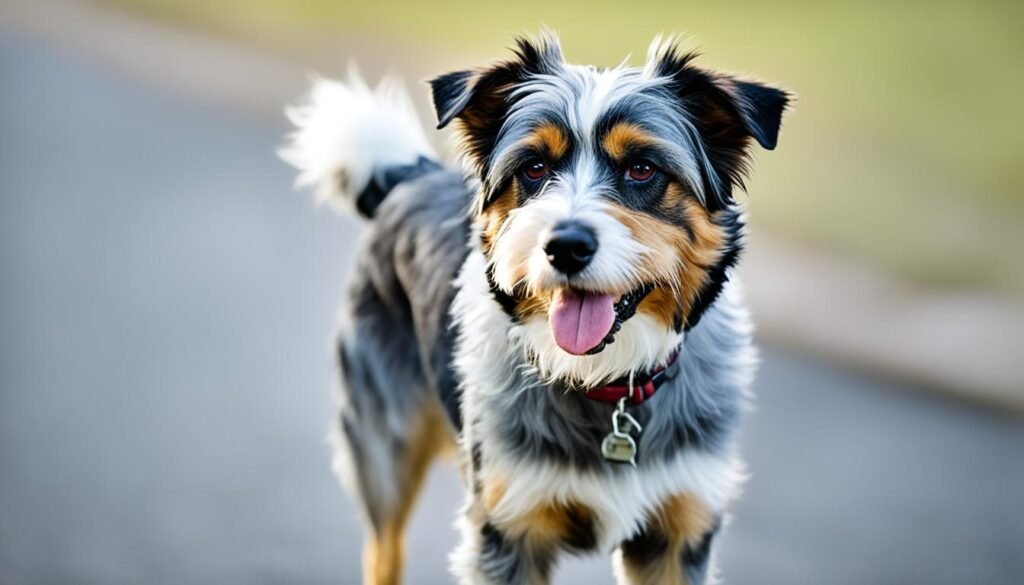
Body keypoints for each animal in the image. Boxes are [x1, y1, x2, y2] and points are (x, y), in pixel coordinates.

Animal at [280, 30, 790, 585]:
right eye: (535, 167)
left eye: (641, 168)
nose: (565, 246)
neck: (607, 383)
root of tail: (411, 178)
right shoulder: (507, 529)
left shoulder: (679, 533)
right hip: (385, 449)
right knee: (383, 550)